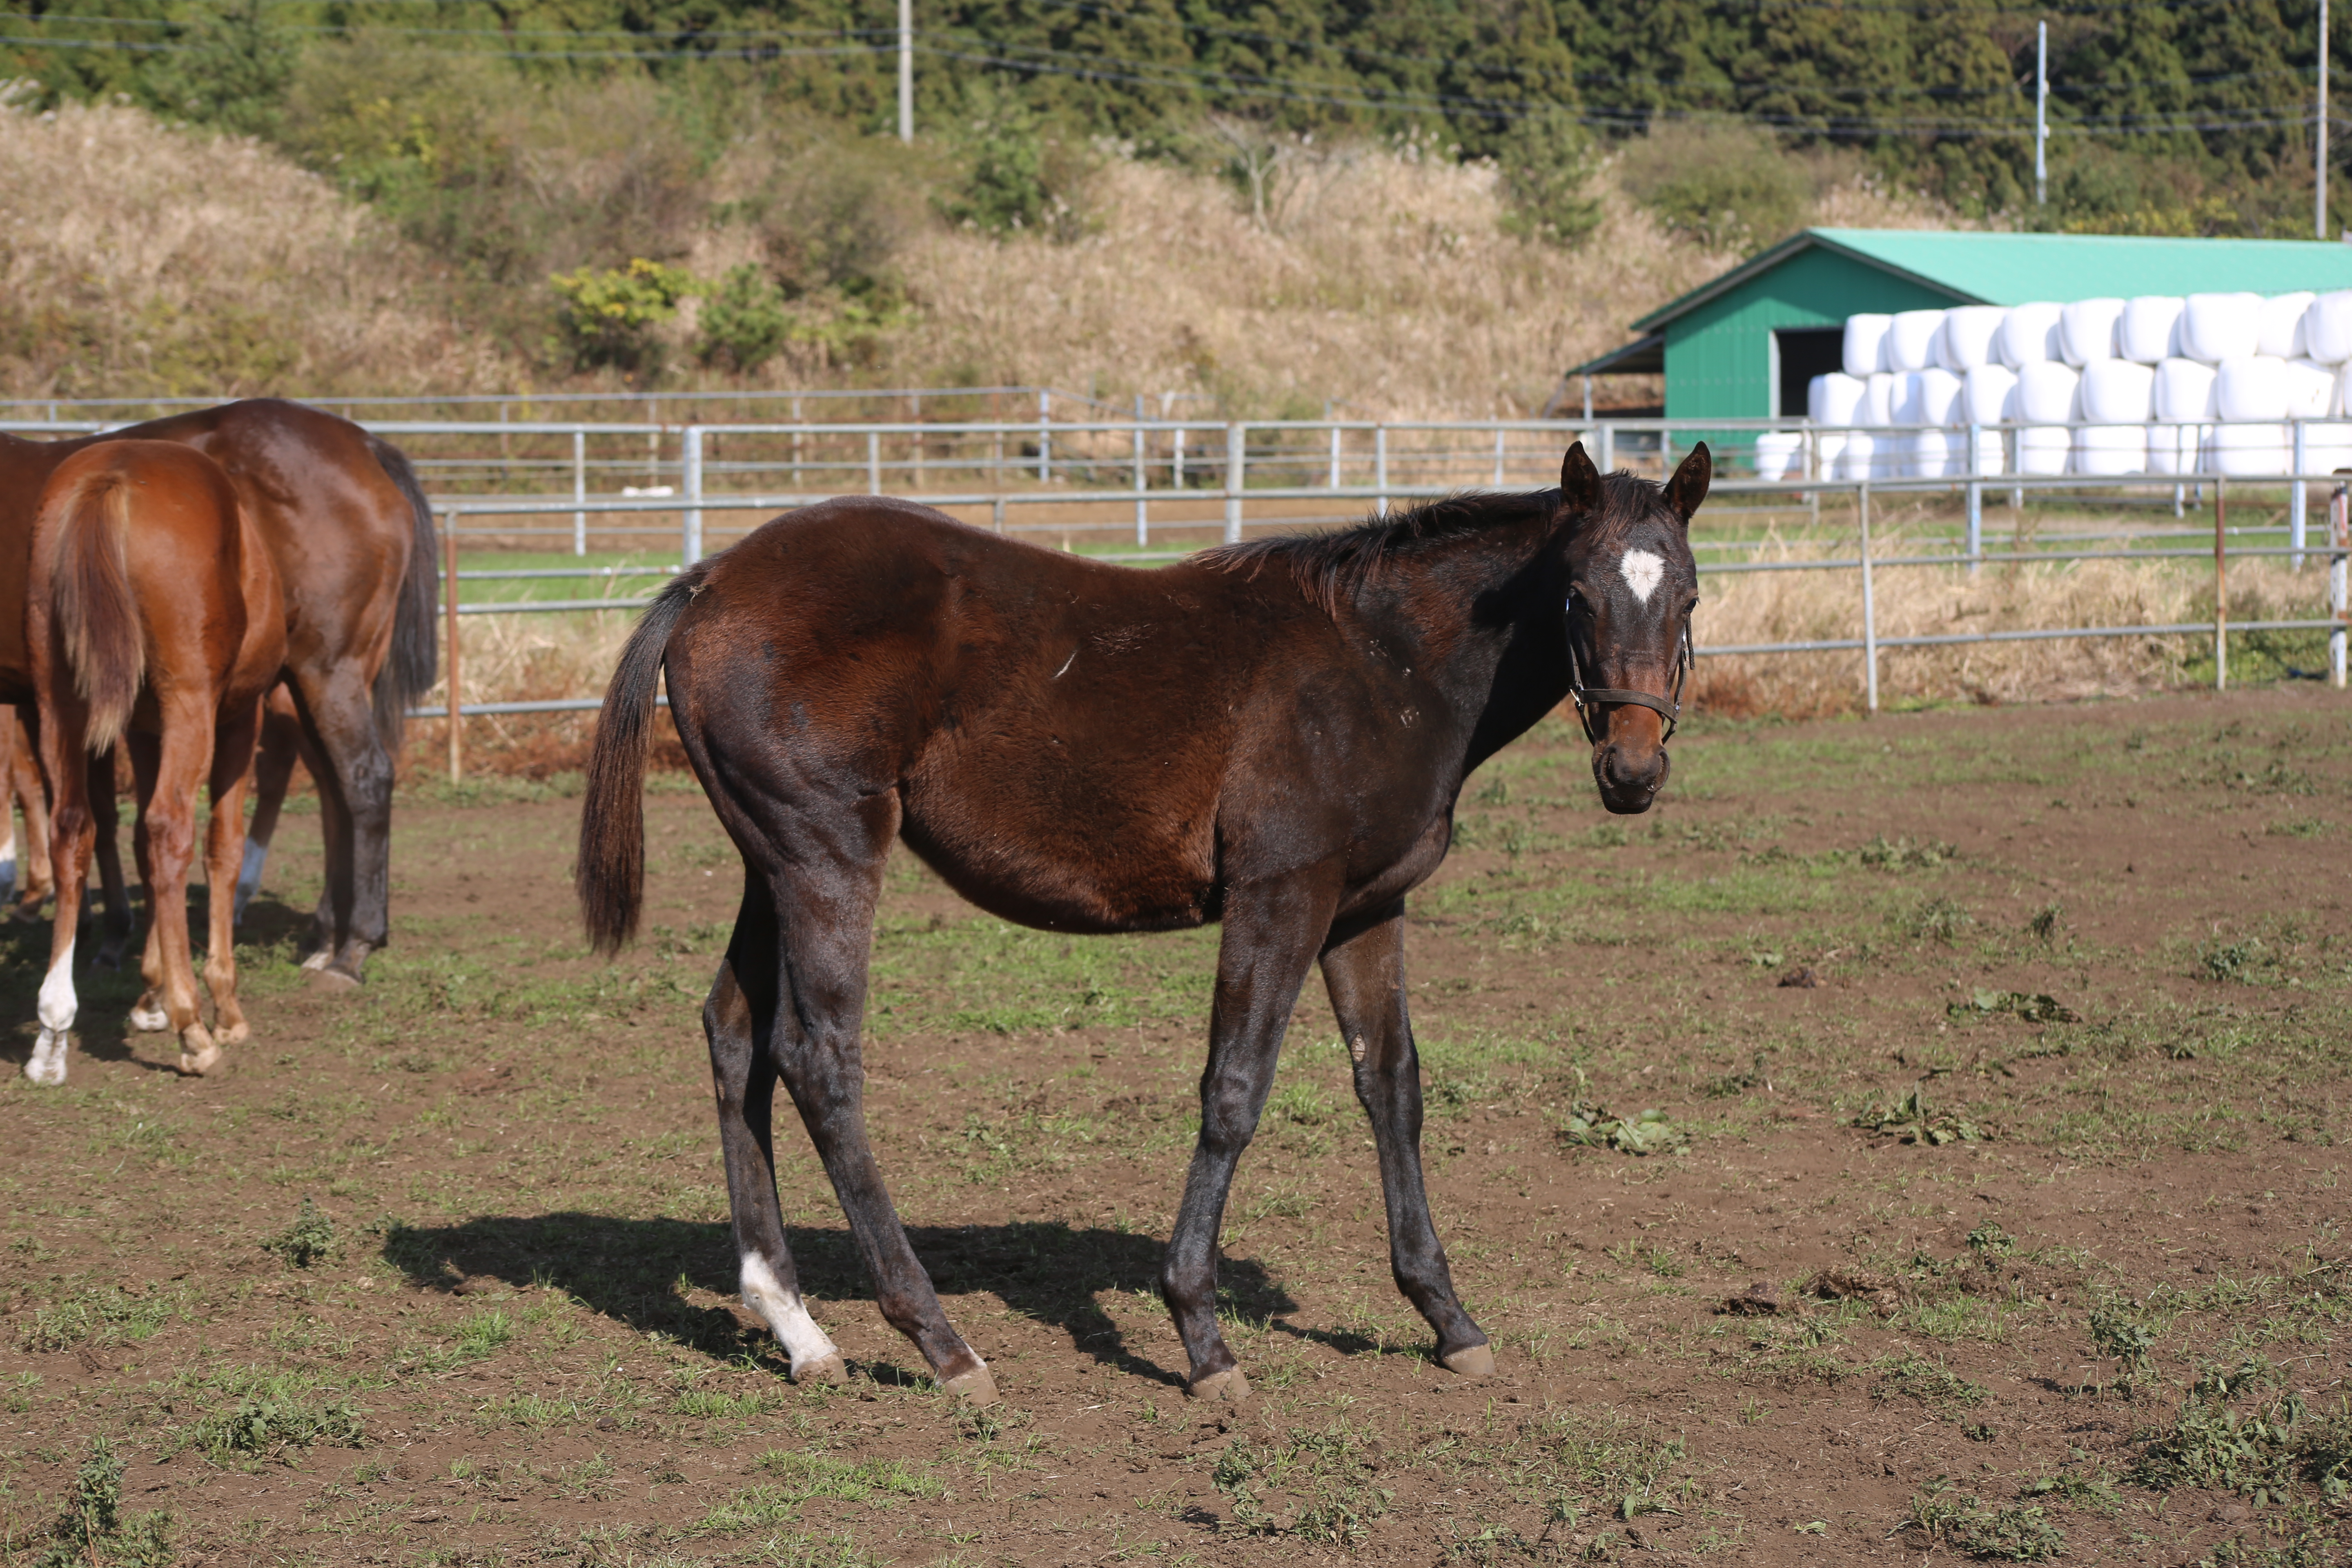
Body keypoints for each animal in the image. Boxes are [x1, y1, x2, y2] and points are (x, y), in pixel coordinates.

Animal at [0, 399, 440, 982]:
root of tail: (366, 445)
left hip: (329, 668)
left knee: (365, 776)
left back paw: (354, 947)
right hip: (304, 681)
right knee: (332, 784)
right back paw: (325, 935)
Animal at [20, 439, 282, 1081]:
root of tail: (111, 477)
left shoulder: (141, 730)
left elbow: (136, 838)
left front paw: (150, 992)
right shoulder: (238, 719)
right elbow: (220, 847)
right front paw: (219, 1005)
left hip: (58, 703)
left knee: (73, 828)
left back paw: (53, 1030)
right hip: (191, 704)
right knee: (170, 828)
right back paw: (194, 1029)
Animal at [569, 444, 1712, 1410]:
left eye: (1689, 594)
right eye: (1575, 593)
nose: (1632, 768)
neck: (1381, 662)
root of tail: (712, 579)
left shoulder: (1365, 908)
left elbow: (1391, 1087)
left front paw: (1448, 1318)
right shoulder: (1281, 895)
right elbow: (1235, 1090)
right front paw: (1202, 1337)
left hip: (772, 865)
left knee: (734, 1037)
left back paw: (798, 1327)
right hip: (828, 857)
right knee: (818, 1058)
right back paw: (942, 1342)